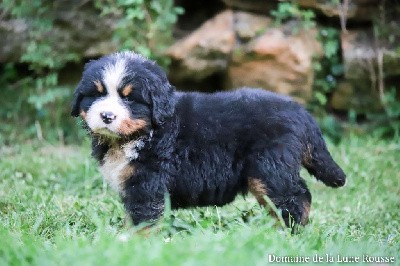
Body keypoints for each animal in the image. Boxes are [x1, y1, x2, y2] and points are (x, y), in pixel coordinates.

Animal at [70, 51, 346, 229]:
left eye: (128, 98)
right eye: (96, 94)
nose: (106, 115)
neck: (145, 132)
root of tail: (300, 112)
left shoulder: (147, 182)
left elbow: (142, 218)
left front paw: (128, 243)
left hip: (270, 170)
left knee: (296, 197)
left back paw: (289, 232)